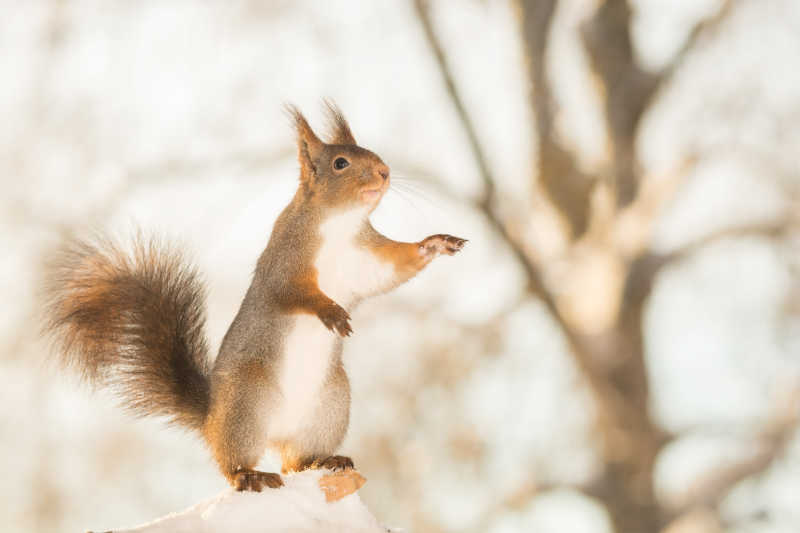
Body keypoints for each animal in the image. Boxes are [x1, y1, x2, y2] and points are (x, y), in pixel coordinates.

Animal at [43, 102, 466, 492]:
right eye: (341, 163)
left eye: (369, 151)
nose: (384, 172)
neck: (340, 225)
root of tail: (212, 419)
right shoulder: (284, 260)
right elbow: (292, 292)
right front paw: (329, 311)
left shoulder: (368, 258)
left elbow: (395, 268)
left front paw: (435, 243)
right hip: (246, 404)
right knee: (234, 463)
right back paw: (249, 475)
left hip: (330, 406)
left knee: (295, 462)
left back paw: (323, 460)